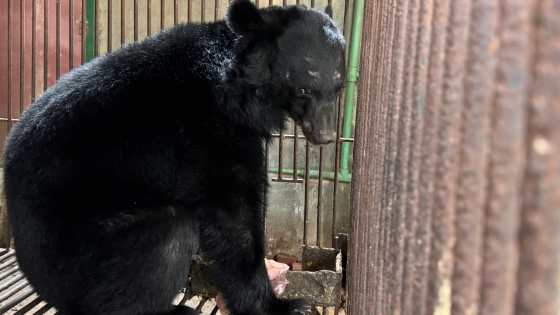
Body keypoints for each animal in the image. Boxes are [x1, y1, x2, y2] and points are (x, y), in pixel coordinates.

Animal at [3, 0, 346, 314]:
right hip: (79, 251)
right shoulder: (206, 125)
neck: (239, 90)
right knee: (171, 234)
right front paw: (280, 305)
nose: (325, 136)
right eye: (303, 88)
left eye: (339, 88)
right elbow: (230, 209)